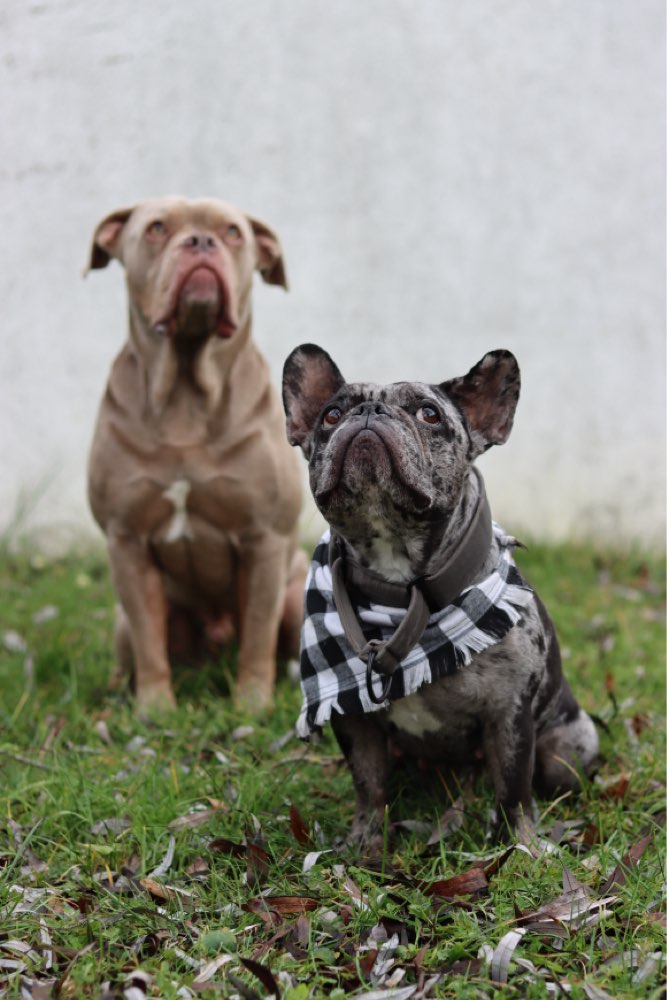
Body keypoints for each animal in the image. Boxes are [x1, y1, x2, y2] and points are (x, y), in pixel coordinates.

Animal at [85, 195, 306, 712]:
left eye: (233, 232)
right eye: (156, 228)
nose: (201, 241)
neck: (186, 392)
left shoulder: (265, 540)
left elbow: (259, 635)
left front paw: (252, 705)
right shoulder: (126, 541)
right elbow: (149, 639)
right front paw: (155, 710)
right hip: (124, 619)